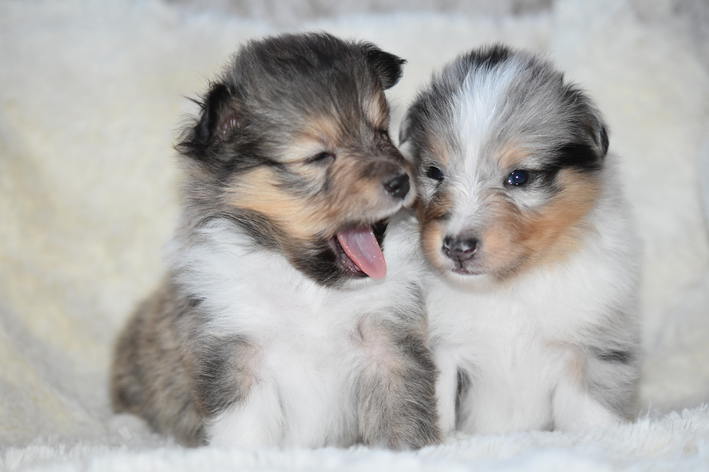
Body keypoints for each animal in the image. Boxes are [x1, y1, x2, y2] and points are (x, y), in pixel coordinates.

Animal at [109, 34, 436, 450]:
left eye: (381, 131)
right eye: (318, 156)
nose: (401, 182)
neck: (311, 289)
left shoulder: (388, 340)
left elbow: (403, 417)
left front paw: (407, 454)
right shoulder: (236, 347)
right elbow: (245, 429)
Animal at [398, 45, 640, 436]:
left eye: (519, 177)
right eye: (435, 173)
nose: (457, 247)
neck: (507, 287)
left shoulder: (591, 345)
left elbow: (587, 415)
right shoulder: (443, 347)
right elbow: (438, 406)